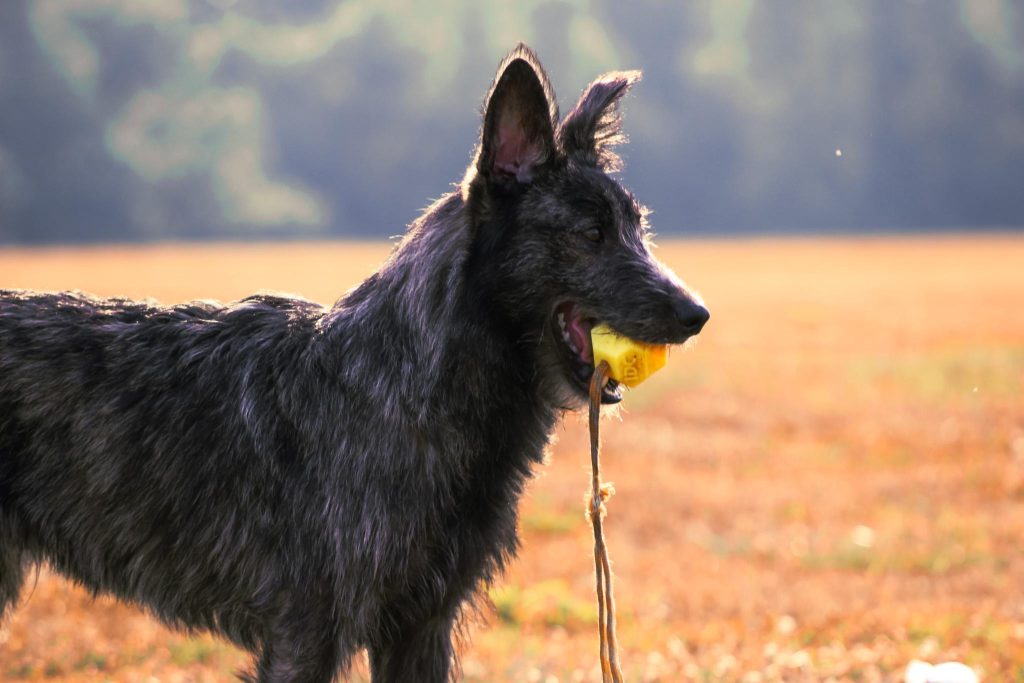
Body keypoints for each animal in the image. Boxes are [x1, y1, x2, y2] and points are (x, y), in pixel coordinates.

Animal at [0, 45, 704, 679]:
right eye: (591, 235)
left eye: (638, 229)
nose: (697, 315)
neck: (409, 384)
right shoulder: (307, 631)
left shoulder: (420, 627)